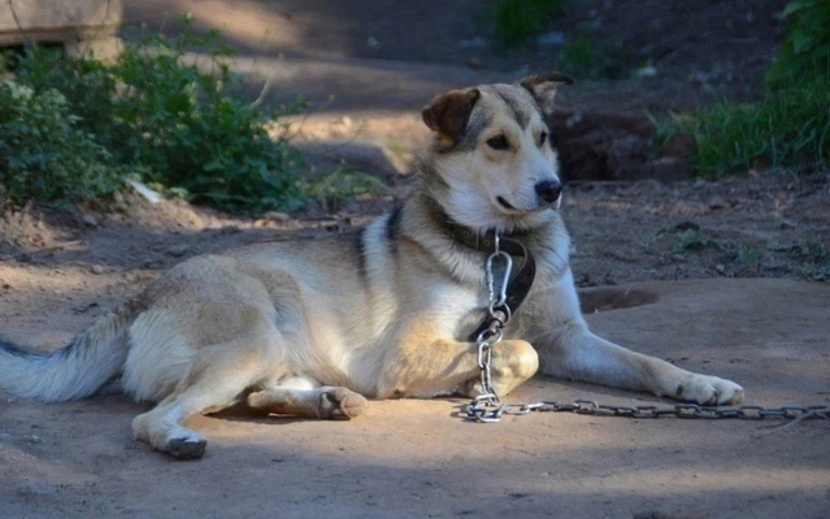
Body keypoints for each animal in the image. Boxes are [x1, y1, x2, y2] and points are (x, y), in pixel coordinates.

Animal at [0, 74, 744, 460]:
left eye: (542, 137)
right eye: (497, 143)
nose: (553, 188)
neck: (503, 248)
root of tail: (141, 296)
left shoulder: (572, 335)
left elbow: (645, 361)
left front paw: (701, 384)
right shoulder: (412, 352)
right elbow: (515, 350)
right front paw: (474, 381)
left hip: (271, 350)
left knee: (254, 396)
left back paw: (327, 401)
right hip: (253, 334)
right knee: (153, 416)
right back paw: (184, 437)